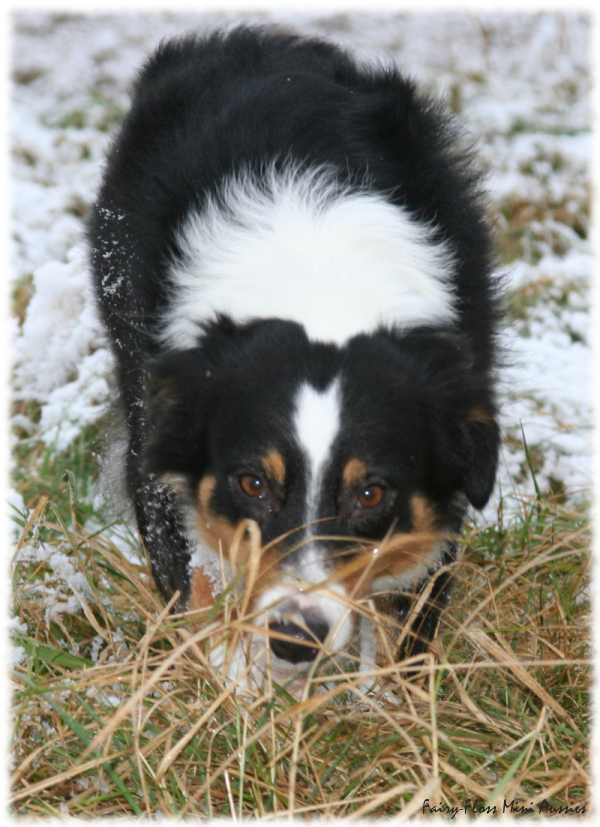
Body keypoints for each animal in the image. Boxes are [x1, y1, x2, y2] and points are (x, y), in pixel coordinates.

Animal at [89, 24, 502, 692]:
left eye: (371, 494)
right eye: (253, 482)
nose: (296, 636)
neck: (319, 280)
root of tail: (250, 38)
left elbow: (406, 618)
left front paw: (381, 700)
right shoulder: (157, 449)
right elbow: (196, 584)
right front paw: (235, 689)